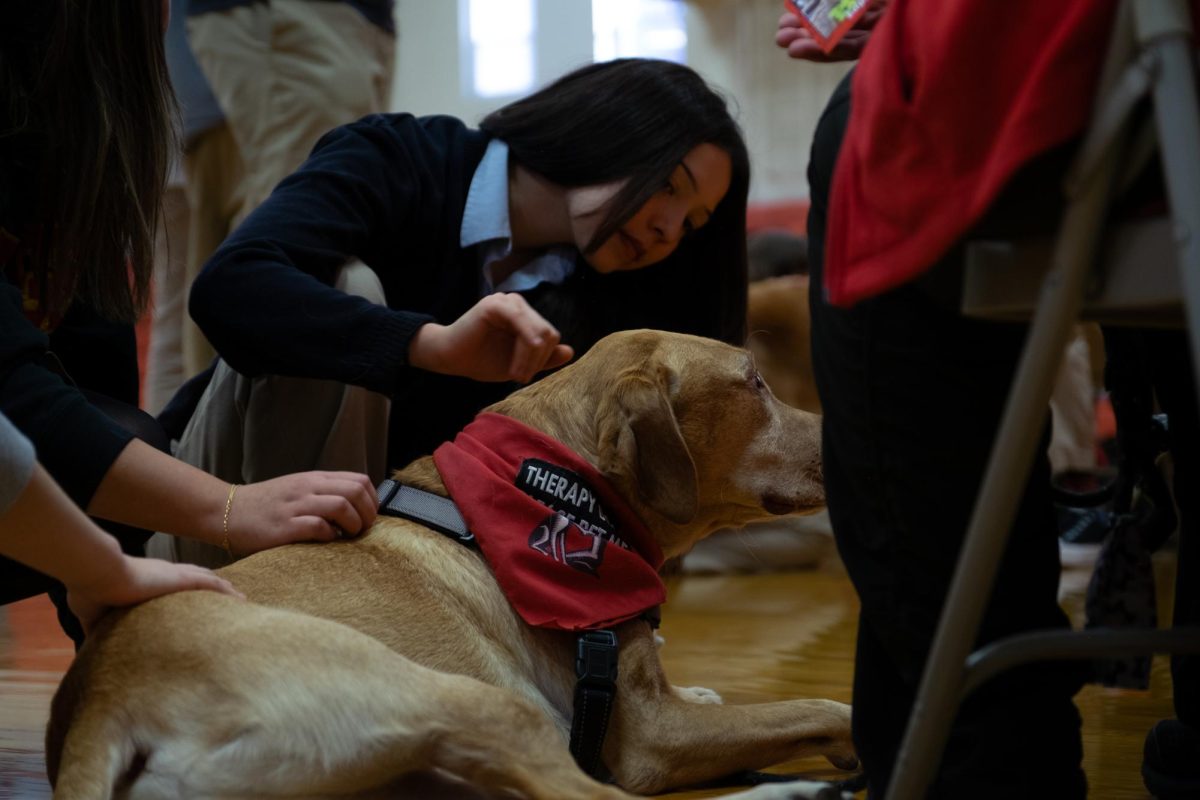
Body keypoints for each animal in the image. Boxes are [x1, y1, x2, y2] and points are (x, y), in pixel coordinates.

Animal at [44, 328, 854, 796]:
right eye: (756, 382)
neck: (560, 486)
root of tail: (101, 700)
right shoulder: (651, 737)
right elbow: (815, 705)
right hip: (478, 698)